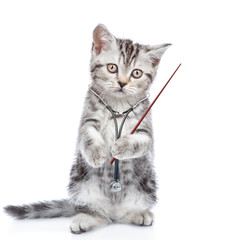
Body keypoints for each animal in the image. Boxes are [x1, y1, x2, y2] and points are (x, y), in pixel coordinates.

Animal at [4, 24, 171, 234]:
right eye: (112, 67)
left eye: (137, 73)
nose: (122, 83)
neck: (117, 106)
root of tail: (113, 211)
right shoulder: (87, 120)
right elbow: (88, 135)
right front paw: (97, 153)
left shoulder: (146, 131)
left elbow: (141, 141)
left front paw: (121, 146)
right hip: (79, 181)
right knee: (97, 213)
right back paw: (86, 218)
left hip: (147, 184)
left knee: (125, 213)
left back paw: (138, 213)